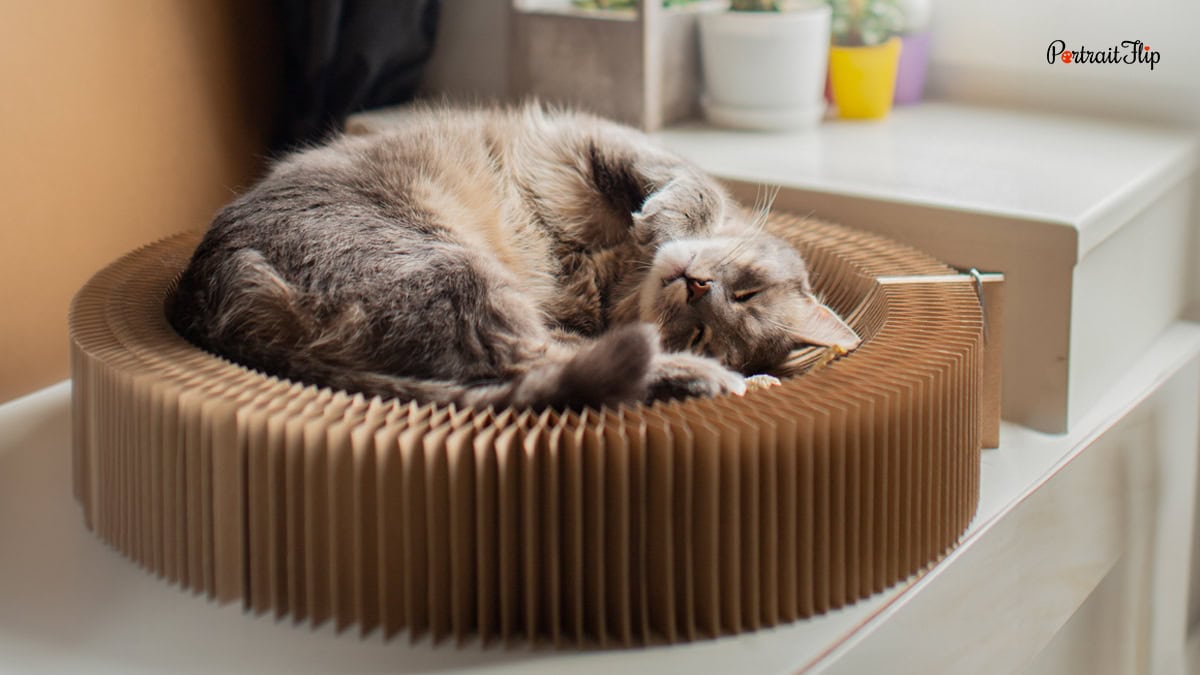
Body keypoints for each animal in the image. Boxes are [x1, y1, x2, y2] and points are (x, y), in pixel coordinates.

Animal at [169, 103, 864, 410]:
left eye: (703, 332)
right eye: (745, 288)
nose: (695, 285)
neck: (618, 274)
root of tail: (205, 305)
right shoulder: (601, 142)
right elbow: (687, 188)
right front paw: (661, 221)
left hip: (457, 281)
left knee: (530, 372)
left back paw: (717, 380)